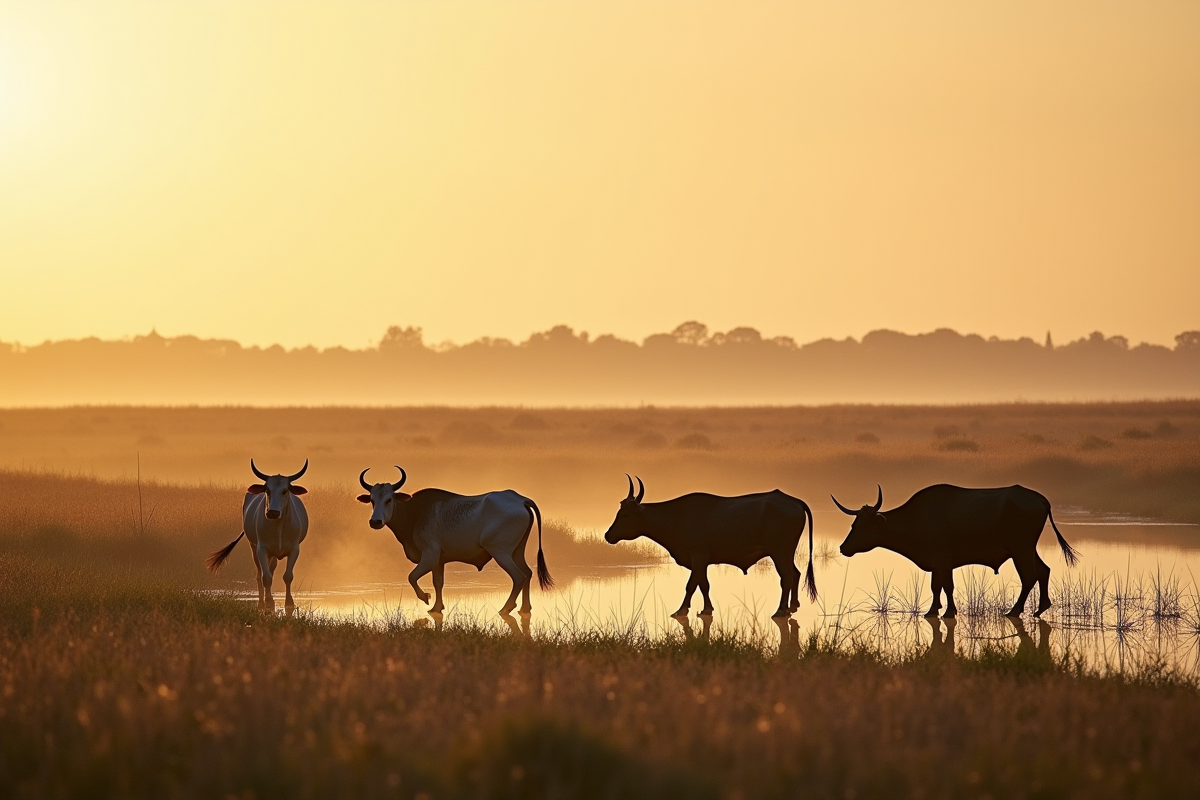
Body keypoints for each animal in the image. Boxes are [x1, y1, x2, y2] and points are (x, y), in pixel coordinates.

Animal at [206, 455, 309, 614]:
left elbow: (288, 576)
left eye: (285, 491)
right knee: (260, 574)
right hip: (254, 547)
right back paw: (262, 601)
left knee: (271, 570)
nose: (272, 512)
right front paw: (268, 602)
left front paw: (289, 603)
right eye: (267, 490)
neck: (279, 527)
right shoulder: (262, 549)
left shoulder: (294, 549)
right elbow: (265, 577)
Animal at [355, 465, 552, 618]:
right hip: (517, 551)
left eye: (389, 499)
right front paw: (437, 607)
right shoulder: (439, 561)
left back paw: (506, 608)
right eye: (372, 500)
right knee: (528, 573)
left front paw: (425, 597)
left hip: (500, 552)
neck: (415, 512)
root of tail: (520, 499)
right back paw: (525, 608)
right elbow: (438, 582)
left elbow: (412, 577)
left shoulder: (430, 556)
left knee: (518, 577)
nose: (375, 521)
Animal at [600, 474, 816, 618]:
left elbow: (691, 585)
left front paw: (681, 610)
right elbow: (703, 585)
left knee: (786, 577)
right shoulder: (701, 561)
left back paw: (781, 611)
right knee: (795, 573)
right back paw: (792, 606)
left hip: (779, 552)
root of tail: (794, 501)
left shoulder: (698, 557)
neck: (678, 517)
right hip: (786, 553)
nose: (608, 535)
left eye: (626, 514)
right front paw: (706, 609)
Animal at [835, 482, 1080, 618]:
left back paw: (1015, 610)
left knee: (1030, 576)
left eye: (862, 526)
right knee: (1044, 571)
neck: (916, 519)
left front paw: (949, 611)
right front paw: (932, 610)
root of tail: (1039, 499)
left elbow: (948, 586)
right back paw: (1041, 608)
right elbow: (935, 587)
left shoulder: (944, 560)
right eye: (854, 524)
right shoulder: (935, 563)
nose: (843, 547)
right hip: (1028, 549)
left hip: (1020, 549)